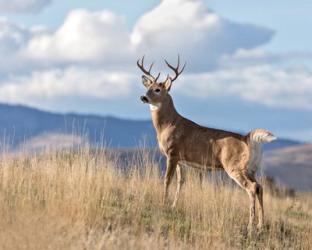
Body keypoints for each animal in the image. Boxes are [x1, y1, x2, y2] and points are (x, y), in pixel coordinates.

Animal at [138, 55, 276, 231]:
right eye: (148, 87)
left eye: (157, 89)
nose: (143, 97)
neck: (167, 125)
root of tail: (247, 139)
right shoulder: (181, 159)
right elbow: (180, 182)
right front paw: (174, 206)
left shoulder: (172, 152)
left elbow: (167, 179)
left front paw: (163, 204)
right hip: (251, 168)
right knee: (260, 187)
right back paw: (260, 225)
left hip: (235, 166)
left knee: (252, 187)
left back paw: (250, 225)